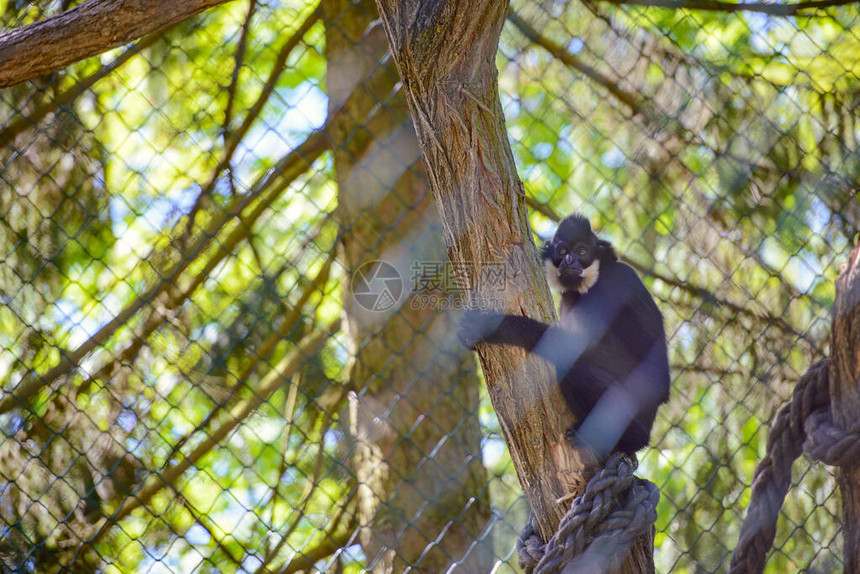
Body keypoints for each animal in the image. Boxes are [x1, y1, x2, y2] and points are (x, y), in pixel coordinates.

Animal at [460, 215, 668, 460]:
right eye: (562, 251)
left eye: (581, 251)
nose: (569, 260)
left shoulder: (624, 280)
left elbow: (656, 378)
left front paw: (496, 327)